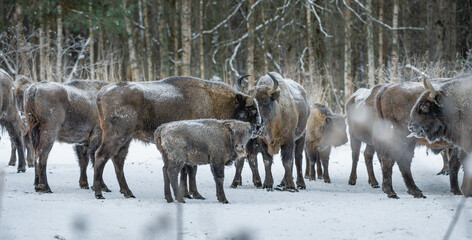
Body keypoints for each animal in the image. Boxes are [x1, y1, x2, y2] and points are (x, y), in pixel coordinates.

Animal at [93, 76, 260, 199]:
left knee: (118, 160)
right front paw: (194, 194)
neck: (213, 100)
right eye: (250, 110)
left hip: (126, 139)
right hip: (116, 136)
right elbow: (191, 170)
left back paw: (127, 192)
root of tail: (101, 94)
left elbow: (187, 170)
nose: (258, 127)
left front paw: (188, 193)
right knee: (101, 155)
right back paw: (99, 192)